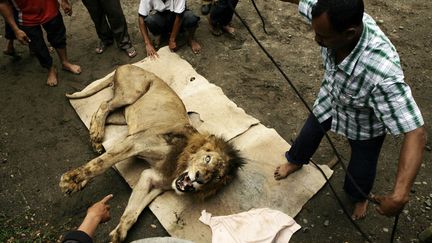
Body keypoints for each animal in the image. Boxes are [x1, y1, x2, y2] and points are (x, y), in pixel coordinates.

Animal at [59, 64, 245, 241]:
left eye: (217, 177)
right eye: (207, 159)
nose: (199, 178)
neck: (179, 164)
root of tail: (124, 66)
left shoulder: (152, 178)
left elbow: (133, 212)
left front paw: (119, 233)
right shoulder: (137, 143)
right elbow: (101, 164)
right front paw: (70, 180)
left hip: (124, 117)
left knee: (102, 112)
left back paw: (95, 139)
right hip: (132, 94)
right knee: (105, 105)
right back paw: (95, 140)